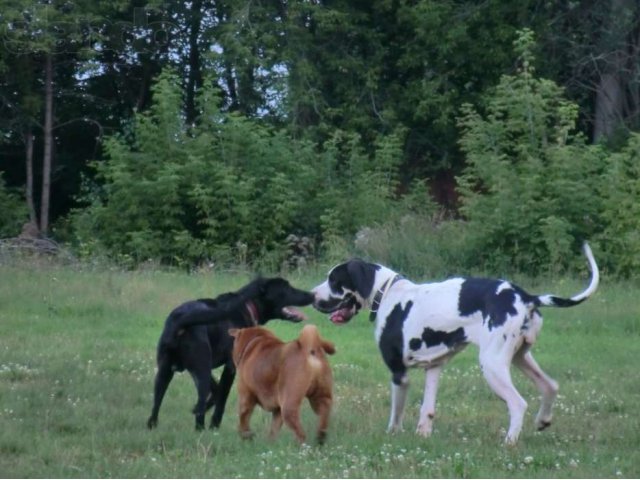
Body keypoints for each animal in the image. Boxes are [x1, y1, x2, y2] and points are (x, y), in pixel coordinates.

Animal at [146, 278, 316, 432]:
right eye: (287, 288)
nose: (312, 295)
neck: (248, 306)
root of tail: (181, 319)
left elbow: (216, 390)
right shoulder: (230, 368)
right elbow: (221, 397)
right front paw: (214, 425)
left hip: (165, 372)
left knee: (155, 406)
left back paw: (152, 427)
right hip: (201, 371)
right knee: (200, 406)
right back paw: (201, 430)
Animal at [312, 246, 600, 444]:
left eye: (334, 280)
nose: (312, 296)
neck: (389, 294)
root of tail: (526, 296)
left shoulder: (399, 373)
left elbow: (396, 414)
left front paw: (392, 434)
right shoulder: (433, 368)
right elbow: (427, 411)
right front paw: (423, 435)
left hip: (493, 366)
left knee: (518, 404)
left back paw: (509, 442)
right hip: (520, 358)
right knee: (550, 386)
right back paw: (543, 420)